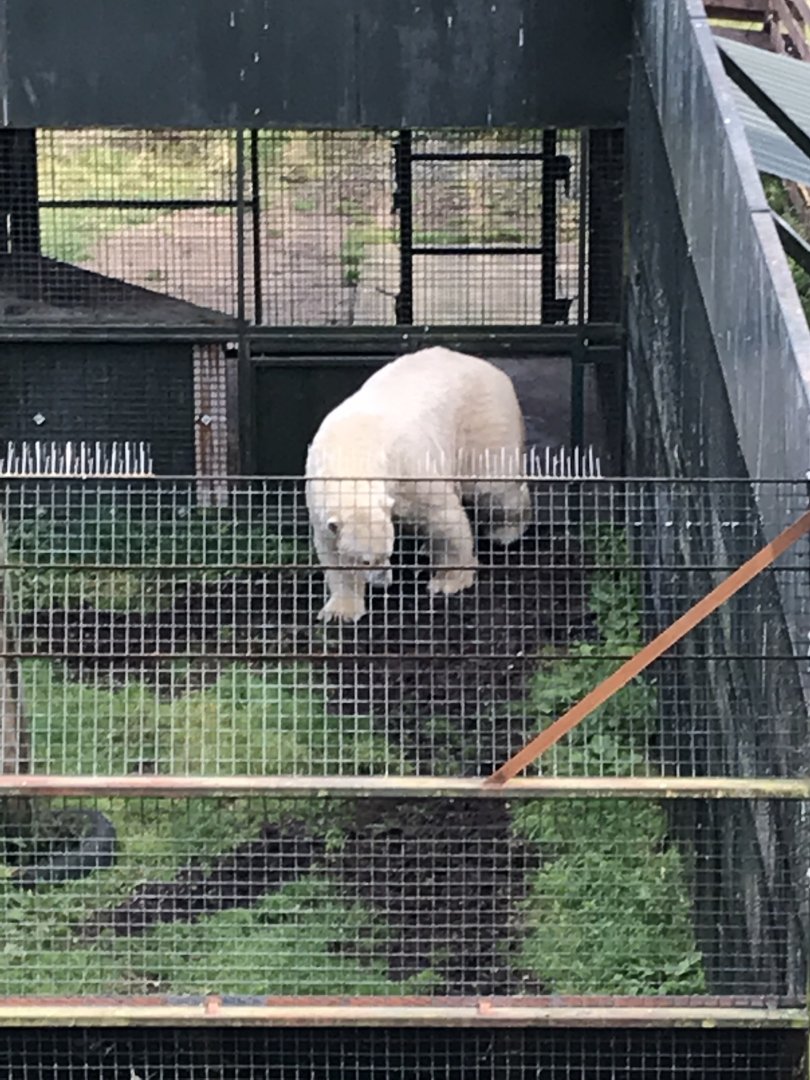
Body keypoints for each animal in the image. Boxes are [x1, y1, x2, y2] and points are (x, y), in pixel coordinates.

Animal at [304, 345, 532, 622]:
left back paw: (506, 532)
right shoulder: (318, 495)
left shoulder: (409, 468)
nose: (383, 583)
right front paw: (340, 612)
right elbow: (333, 553)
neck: (353, 448)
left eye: (388, 552)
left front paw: (448, 581)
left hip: (484, 424)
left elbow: (444, 517)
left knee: (494, 488)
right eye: (366, 560)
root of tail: (489, 367)